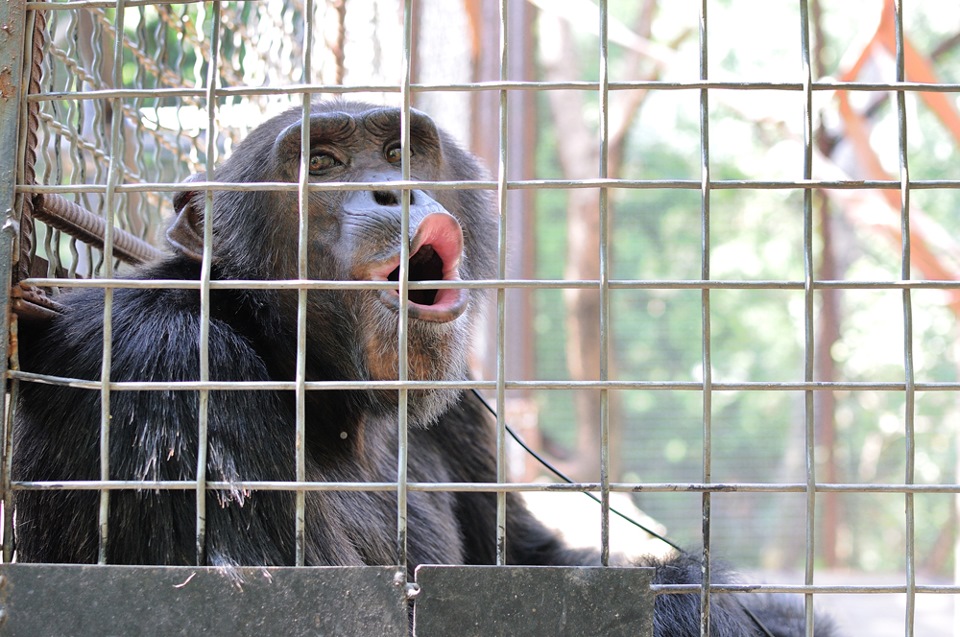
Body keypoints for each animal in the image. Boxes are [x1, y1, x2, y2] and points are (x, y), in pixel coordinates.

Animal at [13, 102, 840, 632]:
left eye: (400, 151)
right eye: (322, 163)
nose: (394, 189)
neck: (328, 393)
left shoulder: (464, 406)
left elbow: (537, 562)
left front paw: (729, 600)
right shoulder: (170, 366)